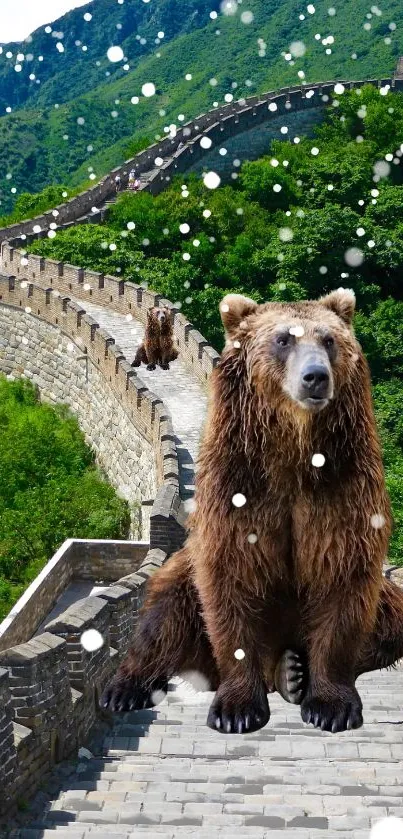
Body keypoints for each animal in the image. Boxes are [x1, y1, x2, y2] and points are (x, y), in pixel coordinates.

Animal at [102, 290, 403, 736]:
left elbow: (341, 581)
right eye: (283, 339)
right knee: (163, 613)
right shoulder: (239, 487)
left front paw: (331, 706)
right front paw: (237, 710)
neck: (294, 450)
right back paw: (125, 688)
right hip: (182, 576)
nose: (315, 377)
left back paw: (292, 672)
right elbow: (232, 584)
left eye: (329, 339)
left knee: (391, 619)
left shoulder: (343, 488)